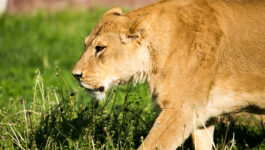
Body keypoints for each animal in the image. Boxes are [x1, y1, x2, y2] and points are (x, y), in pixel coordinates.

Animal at [72, 0, 264, 149]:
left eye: (100, 48)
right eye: (85, 44)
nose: (75, 75)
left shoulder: (181, 109)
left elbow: (151, 146)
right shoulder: (201, 115)